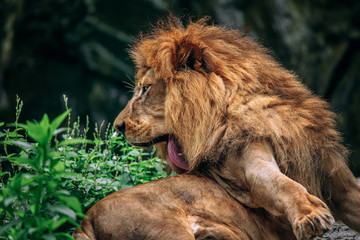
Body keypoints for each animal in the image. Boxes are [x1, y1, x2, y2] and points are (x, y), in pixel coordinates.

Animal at [73, 16, 360, 240]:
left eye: (145, 89)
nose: (118, 126)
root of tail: (85, 220)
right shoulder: (250, 164)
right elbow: (281, 185)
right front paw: (309, 216)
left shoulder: (339, 181)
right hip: (167, 229)